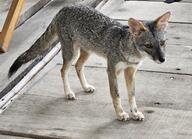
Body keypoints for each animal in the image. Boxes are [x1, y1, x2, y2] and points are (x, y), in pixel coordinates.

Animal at [8, 5, 171, 120]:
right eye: (148, 45)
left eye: (162, 43)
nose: (162, 59)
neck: (128, 50)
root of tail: (65, 8)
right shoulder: (112, 70)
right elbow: (116, 94)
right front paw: (120, 114)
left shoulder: (130, 71)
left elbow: (132, 95)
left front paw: (135, 113)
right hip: (71, 53)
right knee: (63, 70)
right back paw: (68, 93)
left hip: (86, 53)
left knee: (78, 66)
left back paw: (85, 87)